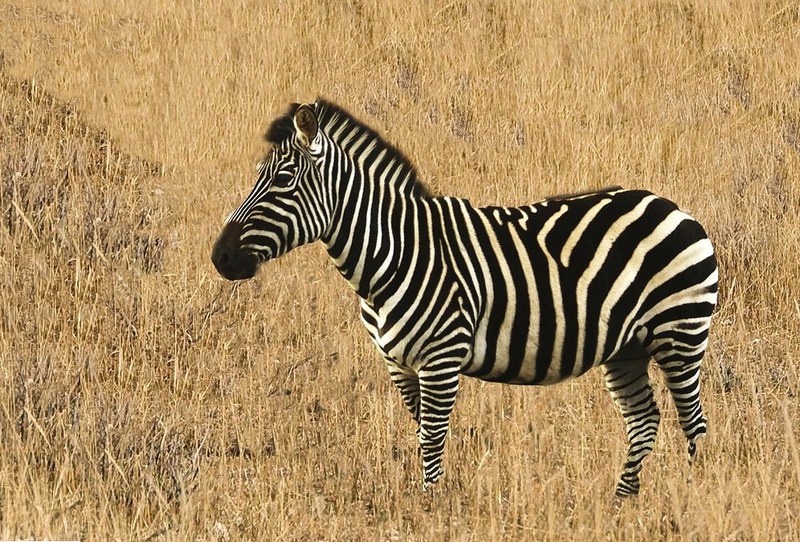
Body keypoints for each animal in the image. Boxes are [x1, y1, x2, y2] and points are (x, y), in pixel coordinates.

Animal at [211, 100, 718, 497]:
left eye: (284, 181)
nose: (220, 257)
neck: (394, 252)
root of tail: (672, 206)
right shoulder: (398, 363)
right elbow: (421, 432)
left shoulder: (442, 357)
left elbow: (432, 439)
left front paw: (431, 510)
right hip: (626, 348)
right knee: (644, 420)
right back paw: (621, 505)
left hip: (679, 335)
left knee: (693, 423)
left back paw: (694, 496)